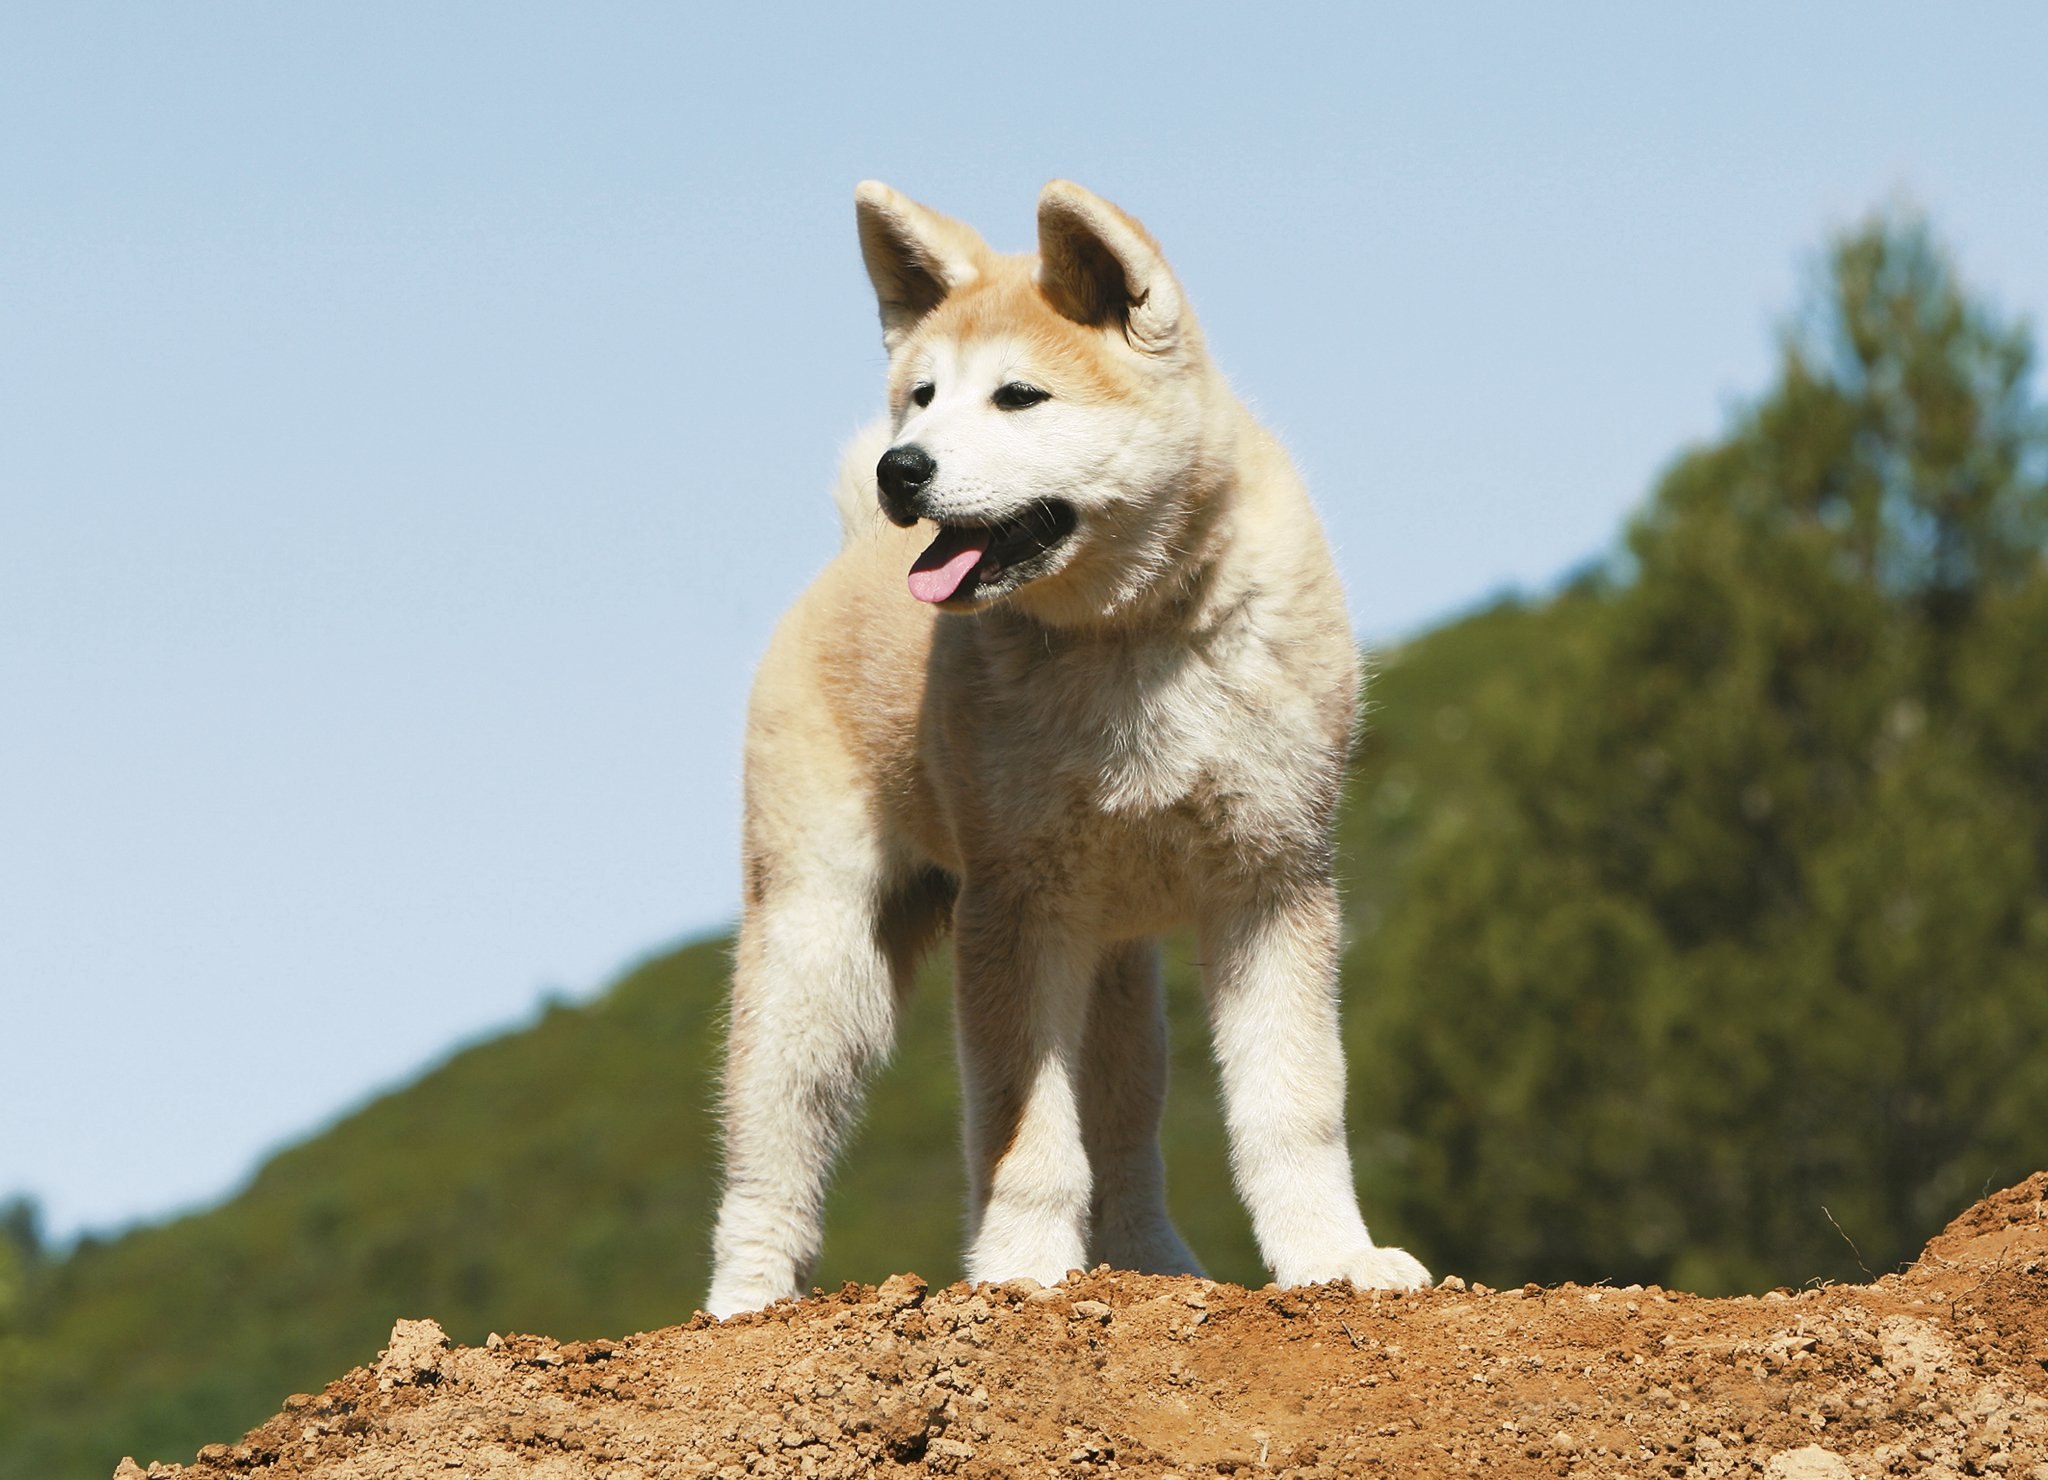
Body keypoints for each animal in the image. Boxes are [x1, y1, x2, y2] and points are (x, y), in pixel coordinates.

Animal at [712, 177, 1433, 1318]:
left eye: (1018, 397)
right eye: (922, 395)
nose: (898, 468)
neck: (1129, 634)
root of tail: (845, 554)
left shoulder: (1273, 883)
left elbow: (1295, 1106)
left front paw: (1335, 1257)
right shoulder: (1016, 903)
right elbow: (1025, 1137)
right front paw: (1019, 1270)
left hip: (1116, 971)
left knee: (1126, 1139)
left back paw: (1152, 1266)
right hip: (819, 949)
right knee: (768, 1149)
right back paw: (744, 1306)